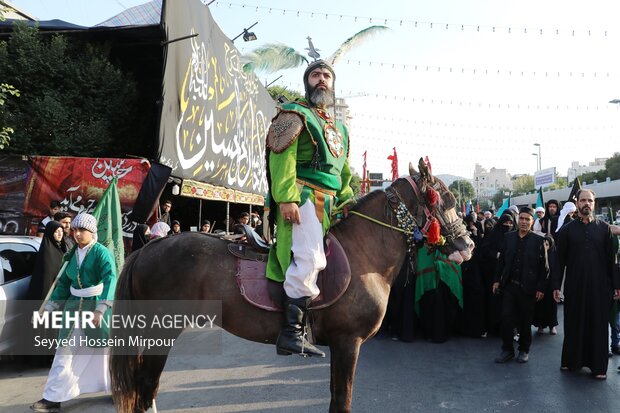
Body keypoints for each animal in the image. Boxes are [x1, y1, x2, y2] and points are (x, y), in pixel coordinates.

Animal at [110, 159, 474, 412]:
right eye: (445, 199)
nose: (468, 244)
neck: (363, 253)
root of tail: (148, 248)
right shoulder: (348, 343)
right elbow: (342, 400)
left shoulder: (342, 346)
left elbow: (336, 398)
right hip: (161, 332)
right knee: (146, 388)